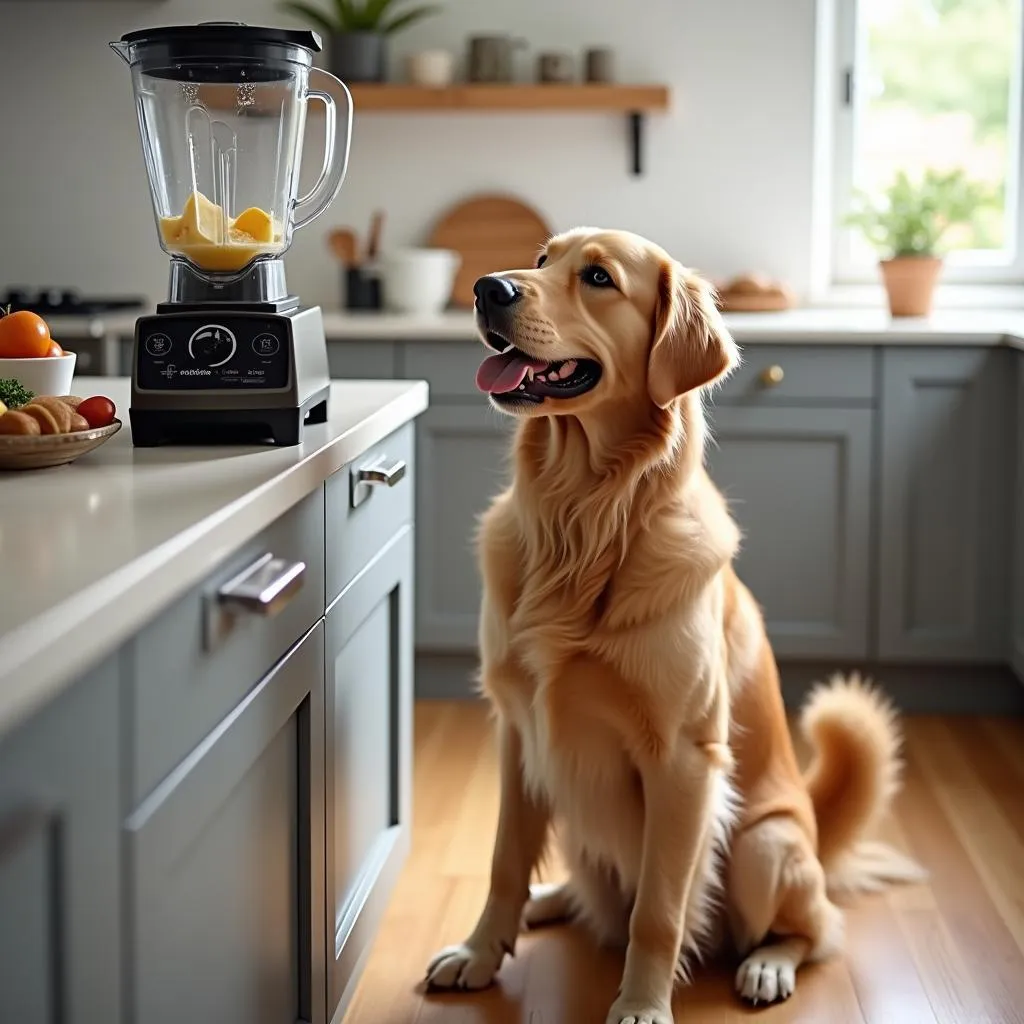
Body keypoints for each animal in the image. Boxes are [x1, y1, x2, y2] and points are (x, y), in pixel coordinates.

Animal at [419, 228, 925, 1019]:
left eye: (598, 277)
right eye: (541, 260)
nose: (485, 289)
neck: (584, 521)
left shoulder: (683, 761)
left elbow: (658, 909)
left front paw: (642, 1004)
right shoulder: (517, 729)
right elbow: (504, 858)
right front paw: (479, 952)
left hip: (765, 846)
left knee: (815, 930)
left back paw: (767, 965)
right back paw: (547, 900)